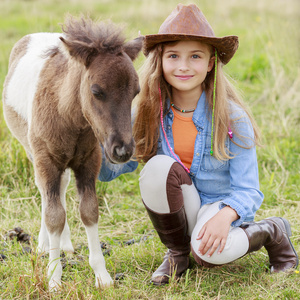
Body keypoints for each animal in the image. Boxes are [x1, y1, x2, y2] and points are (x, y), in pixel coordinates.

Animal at [2, 15, 143, 290]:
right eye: (96, 91)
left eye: (136, 92)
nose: (123, 150)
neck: (68, 116)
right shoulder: (46, 161)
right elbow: (54, 215)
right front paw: (54, 278)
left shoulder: (90, 160)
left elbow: (89, 211)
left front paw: (102, 276)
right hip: (33, 152)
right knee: (46, 195)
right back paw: (45, 245)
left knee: (61, 188)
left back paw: (65, 245)